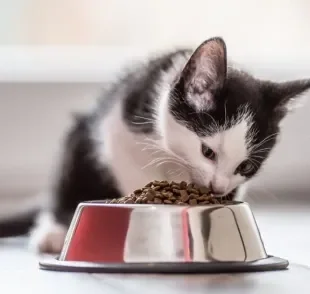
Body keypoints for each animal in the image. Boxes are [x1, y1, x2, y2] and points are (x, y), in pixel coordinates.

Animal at [27, 36, 310, 253]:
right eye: (207, 152)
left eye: (246, 166)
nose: (217, 188)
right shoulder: (117, 127)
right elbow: (133, 170)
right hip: (81, 136)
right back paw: (53, 232)